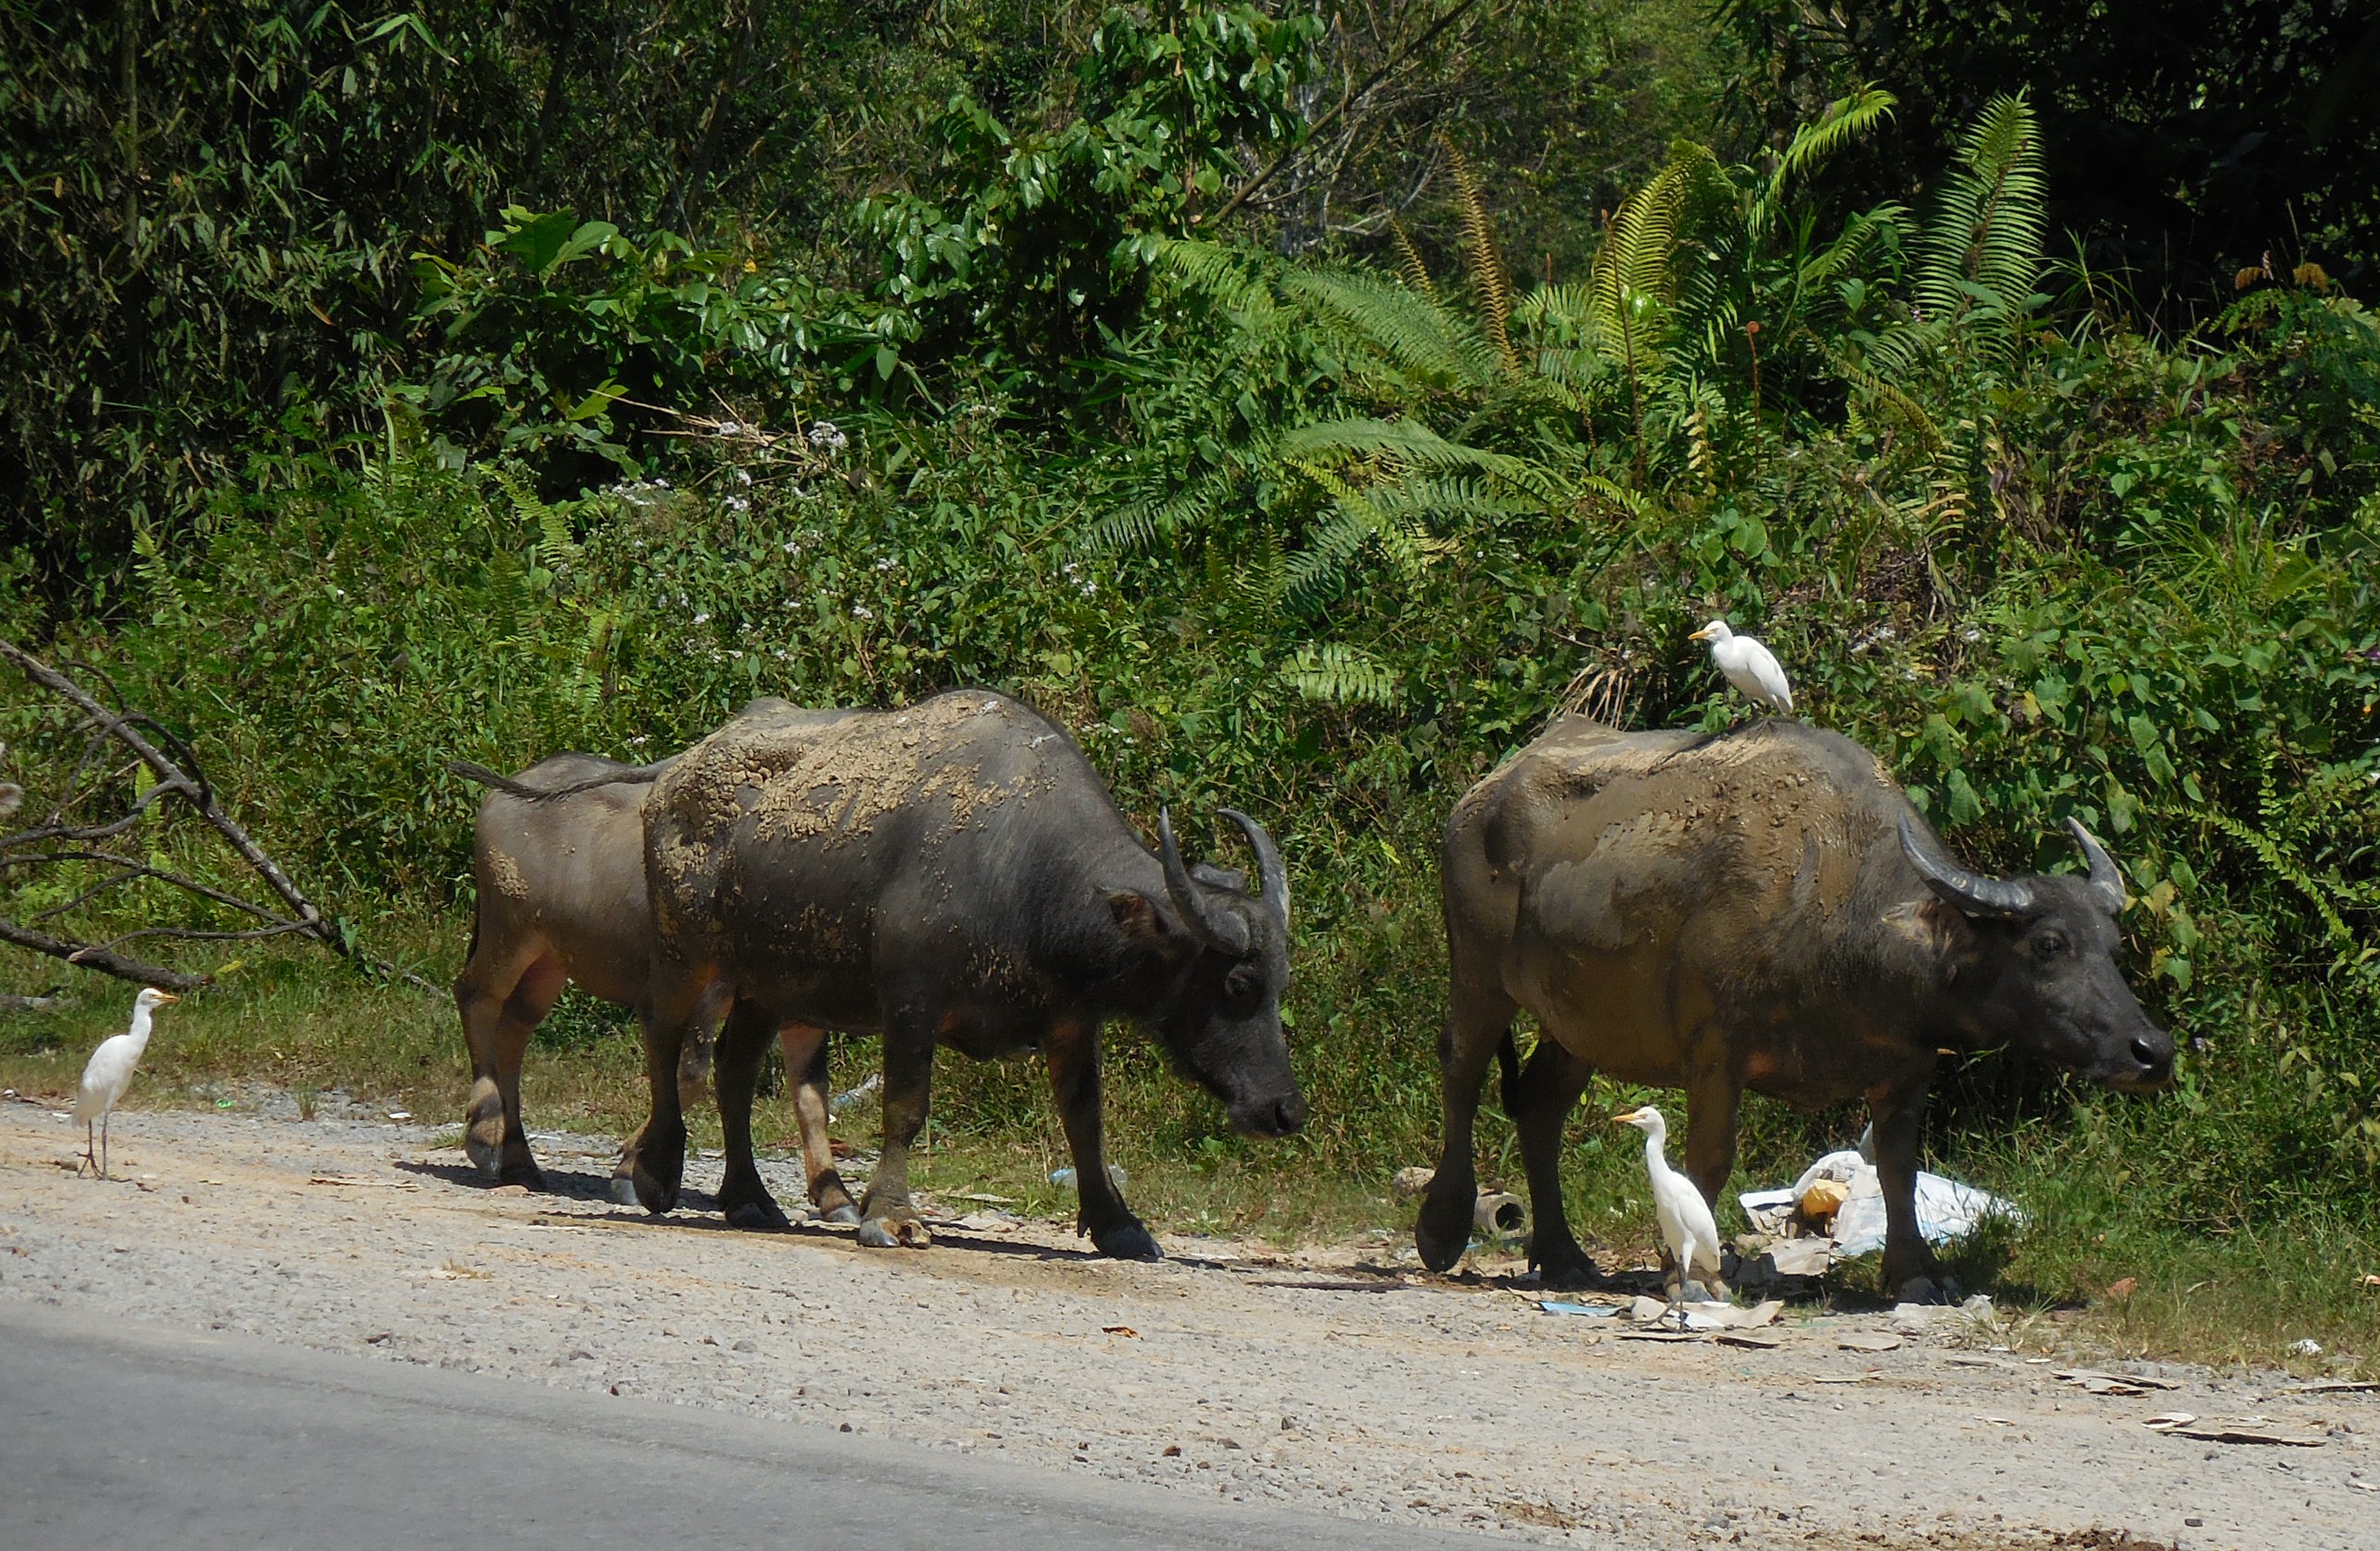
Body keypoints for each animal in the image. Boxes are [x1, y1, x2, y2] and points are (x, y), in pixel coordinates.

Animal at [450, 722, 859, 1222]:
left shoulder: (800, 1009)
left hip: (550, 960)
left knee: (514, 1029)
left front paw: (836, 1197)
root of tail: (513, 786)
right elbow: (691, 1071)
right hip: (509, 932)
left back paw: (519, 1161)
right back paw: (485, 1132)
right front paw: (636, 1169)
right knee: (475, 996)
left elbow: (811, 1095)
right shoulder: (704, 988)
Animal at [620, 690, 1306, 1259]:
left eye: (1281, 983)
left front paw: (1119, 1225)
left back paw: (749, 1197)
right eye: (1237, 985)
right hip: (684, 954)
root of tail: (674, 777)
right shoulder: (911, 1003)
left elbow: (1085, 1121)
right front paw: (891, 1216)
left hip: (767, 982)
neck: (1025, 874)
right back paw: (652, 1170)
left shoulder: (1071, 1024)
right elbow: (906, 1107)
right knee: (665, 1041)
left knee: (734, 1071)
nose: (1286, 1111)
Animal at [1419, 716, 2174, 1301]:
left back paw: (1565, 1257)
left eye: (2112, 944)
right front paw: (1692, 1270)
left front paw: (1917, 1271)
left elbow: (1898, 1168)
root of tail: (1477, 798)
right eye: (2049, 944)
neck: (1842, 914)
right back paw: (1442, 1228)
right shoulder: (1714, 1053)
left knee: (1540, 1105)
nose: (2153, 1052)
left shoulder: (1907, 1068)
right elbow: (1710, 1160)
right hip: (1479, 974)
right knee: (1462, 1067)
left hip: (1579, 1022)